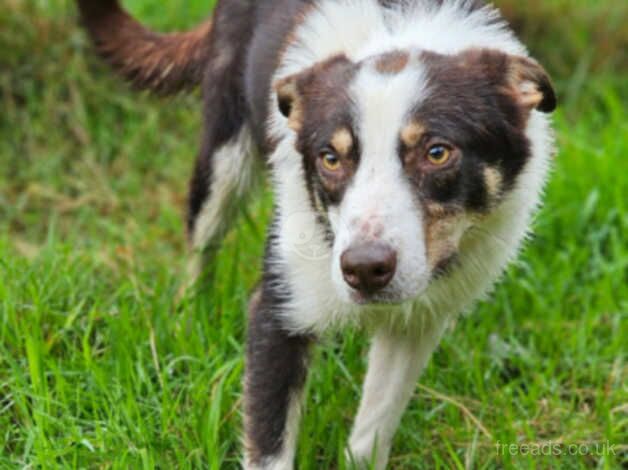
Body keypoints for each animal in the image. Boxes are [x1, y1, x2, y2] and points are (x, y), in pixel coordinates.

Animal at [77, 1, 556, 468]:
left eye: (438, 152)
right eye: (330, 158)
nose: (364, 270)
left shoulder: (419, 320)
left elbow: (371, 434)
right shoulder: (278, 310)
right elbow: (268, 447)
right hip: (222, 155)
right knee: (201, 244)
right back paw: (188, 315)